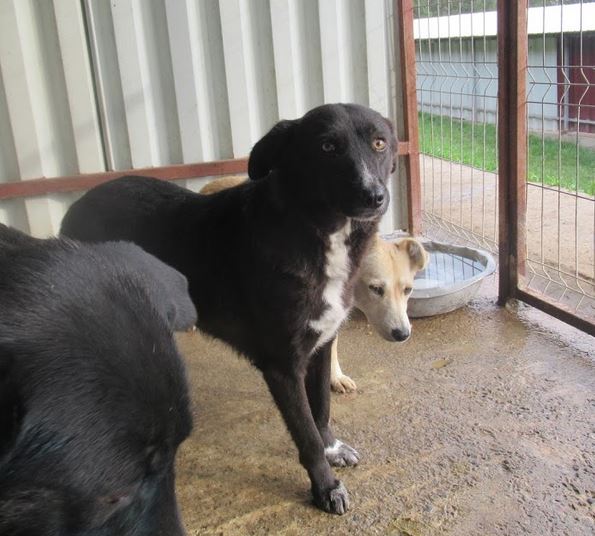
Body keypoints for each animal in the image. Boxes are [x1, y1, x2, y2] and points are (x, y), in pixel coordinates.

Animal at [60, 102, 398, 512]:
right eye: (327, 147)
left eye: (379, 143)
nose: (374, 195)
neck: (311, 231)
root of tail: (77, 205)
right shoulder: (282, 365)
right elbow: (306, 434)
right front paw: (326, 487)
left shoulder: (322, 346)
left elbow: (321, 410)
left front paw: (332, 448)